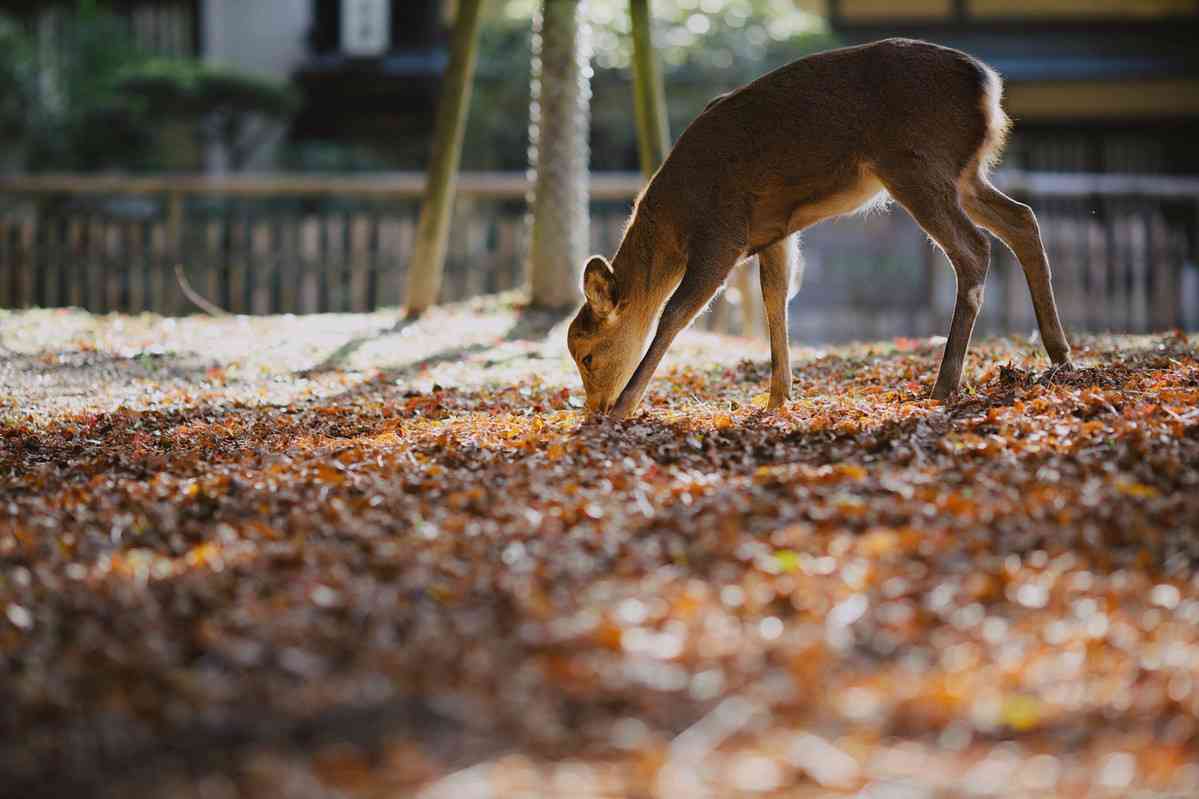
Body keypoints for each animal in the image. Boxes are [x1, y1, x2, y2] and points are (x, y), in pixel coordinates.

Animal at [565, 38, 1074, 417]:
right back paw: (1060, 355)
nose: (594, 408)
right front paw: (778, 397)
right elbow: (775, 301)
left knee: (974, 248)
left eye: (587, 355)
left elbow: (675, 313)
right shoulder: (773, 232)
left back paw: (945, 384)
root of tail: (989, 85)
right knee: (1022, 218)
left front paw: (627, 405)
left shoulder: (723, 232)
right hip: (963, 173)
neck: (675, 222)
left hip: (916, 163)